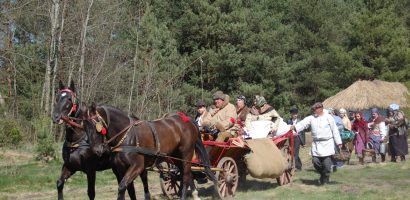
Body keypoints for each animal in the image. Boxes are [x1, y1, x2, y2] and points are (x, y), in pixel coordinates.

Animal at [87, 103, 218, 200]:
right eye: (85, 125)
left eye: (96, 126)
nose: (97, 150)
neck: (126, 136)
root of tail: (188, 120)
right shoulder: (120, 169)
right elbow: (129, 189)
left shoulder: (137, 166)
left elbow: (122, 187)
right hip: (176, 157)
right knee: (187, 174)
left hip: (186, 154)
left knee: (185, 176)